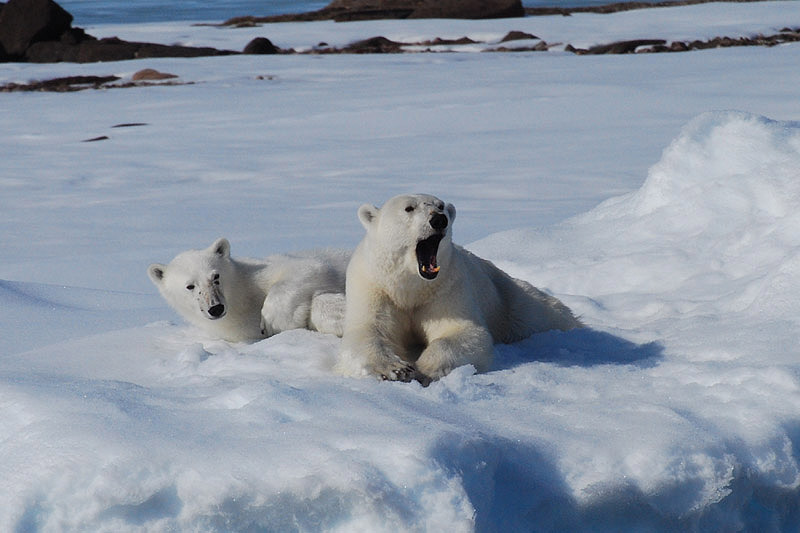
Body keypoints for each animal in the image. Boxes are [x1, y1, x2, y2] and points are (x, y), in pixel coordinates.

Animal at [148, 238, 348, 342]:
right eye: (190, 286)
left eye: (216, 276)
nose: (216, 308)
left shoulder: (259, 272)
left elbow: (309, 268)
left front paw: (273, 321)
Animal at [336, 193, 581, 383]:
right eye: (409, 208)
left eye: (440, 205)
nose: (439, 220)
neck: (411, 286)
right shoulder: (374, 286)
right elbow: (369, 331)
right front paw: (397, 369)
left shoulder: (448, 288)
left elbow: (462, 331)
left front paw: (423, 370)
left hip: (506, 296)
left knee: (540, 313)